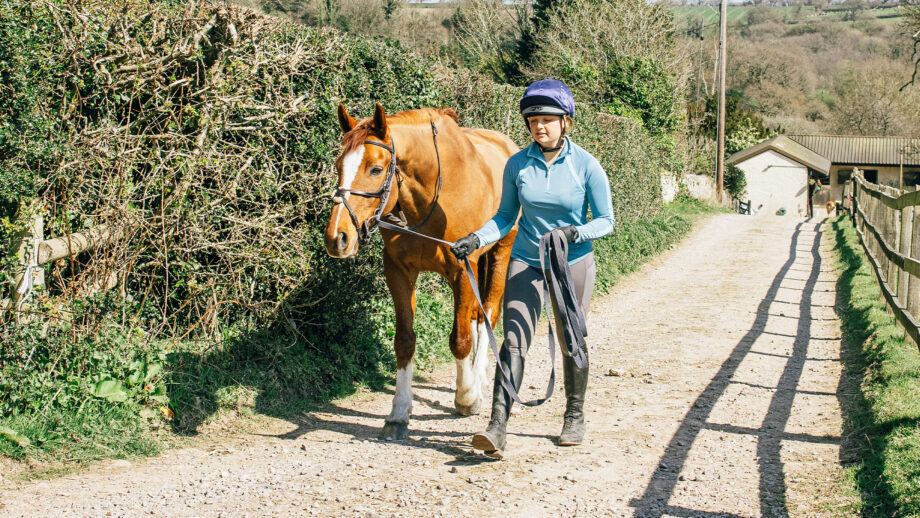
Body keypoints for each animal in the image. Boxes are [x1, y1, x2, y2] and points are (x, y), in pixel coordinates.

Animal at [324, 103, 518, 440]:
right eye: (339, 166)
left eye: (376, 169)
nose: (337, 237)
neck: (431, 199)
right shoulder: (398, 271)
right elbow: (404, 340)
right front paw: (399, 412)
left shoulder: (461, 269)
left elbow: (459, 340)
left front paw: (466, 397)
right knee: (477, 317)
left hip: (499, 254)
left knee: (488, 314)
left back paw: (478, 381)